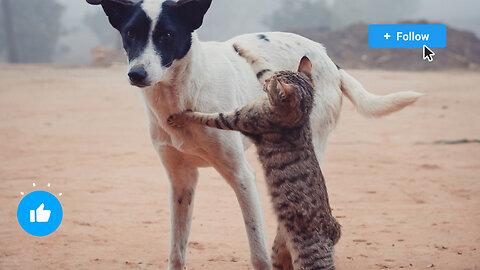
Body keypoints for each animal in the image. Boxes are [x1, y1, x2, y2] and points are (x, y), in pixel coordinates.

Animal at [169, 44, 342, 270]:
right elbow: (261, 66)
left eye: (271, 86)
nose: (267, 83)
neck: (299, 120)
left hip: (308, 258)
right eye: (272, 79)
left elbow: (206, 117)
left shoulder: (238, 118)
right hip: (280, 251)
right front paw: (240, 49)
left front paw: (181, 117)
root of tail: (333, 230)